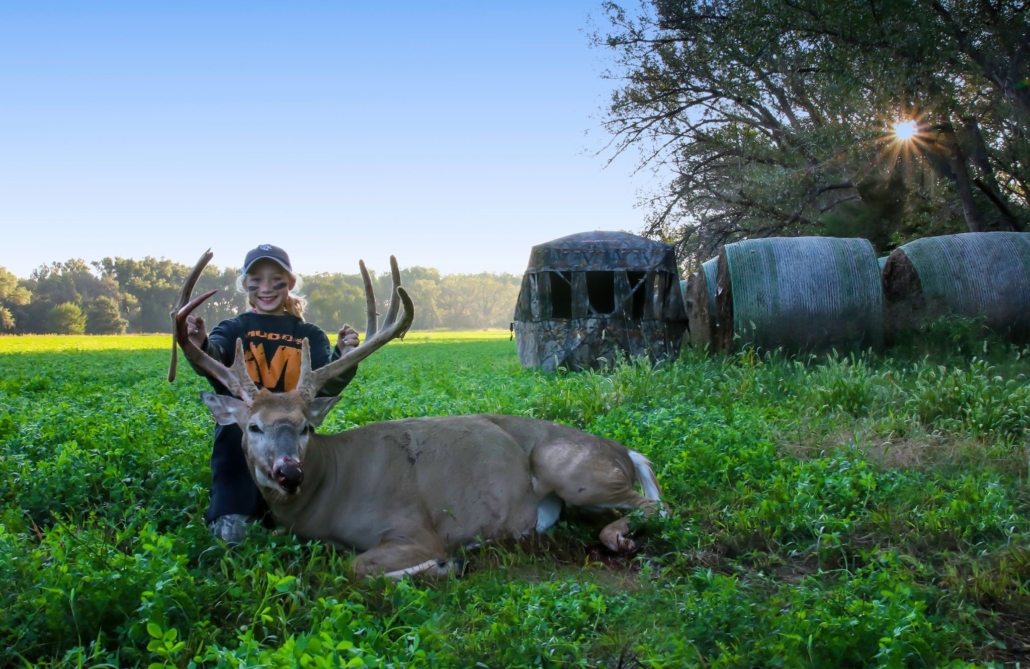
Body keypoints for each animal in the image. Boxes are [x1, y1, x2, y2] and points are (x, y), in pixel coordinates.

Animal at [169, 249, 663, 572]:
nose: (289, 471)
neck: (328, 489)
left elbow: (355, 568)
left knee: (657, 506)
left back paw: (618, 539)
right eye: (253, 427)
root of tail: (625, 452)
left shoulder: (413, 528)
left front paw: (447, 565)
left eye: (306, 427)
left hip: (569, 467)